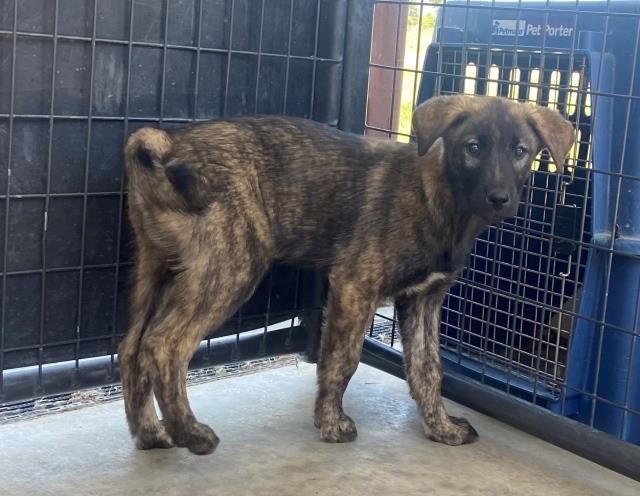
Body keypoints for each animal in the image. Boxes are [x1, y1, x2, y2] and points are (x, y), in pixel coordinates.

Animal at [119, 95, 576, 456]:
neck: (441, 200)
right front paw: (331, 423)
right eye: (473, 148)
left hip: (155, 269)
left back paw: (150, 434)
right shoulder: (356, 285)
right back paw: (189, 433)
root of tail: (169, 146)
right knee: (165, 344)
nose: (499, 198)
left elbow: (428, 370)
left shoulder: (423, 301)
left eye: (520, 150)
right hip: (230, 264)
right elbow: (343, 360)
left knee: (131, 347)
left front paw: (442, 428)